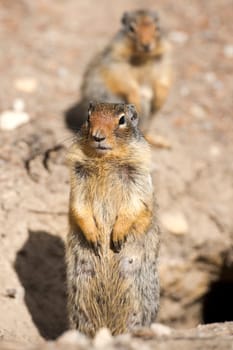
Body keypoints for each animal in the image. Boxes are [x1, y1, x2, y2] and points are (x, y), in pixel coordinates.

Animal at [65, 102, 160, 338]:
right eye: (88, 117)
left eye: (122, 120)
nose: (98, 136)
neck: (105, 161)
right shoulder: (77, 178)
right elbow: (78, 206)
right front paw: (95, 238)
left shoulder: (138, 175)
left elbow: (134, 205)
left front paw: (116, 237)